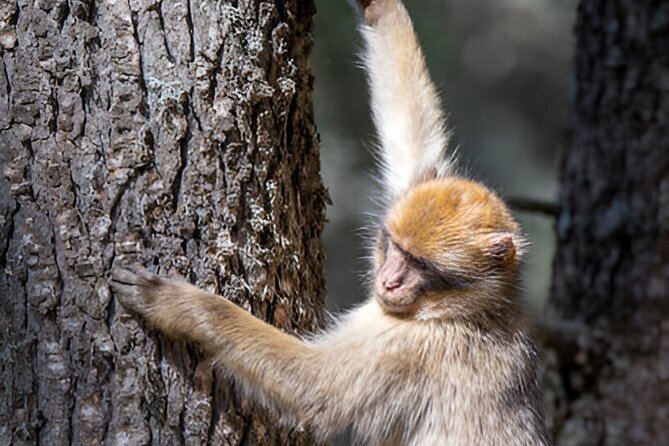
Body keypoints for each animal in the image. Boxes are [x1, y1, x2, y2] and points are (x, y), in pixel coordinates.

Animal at [110, 0, 550, 444]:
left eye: (421, 265)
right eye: (396, 248)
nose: (390, 281)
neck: (467, 311)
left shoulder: (411, 348)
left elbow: (313, 391)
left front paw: (180, 305)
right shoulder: (420, 186)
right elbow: (412, 135)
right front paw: (376, 7)